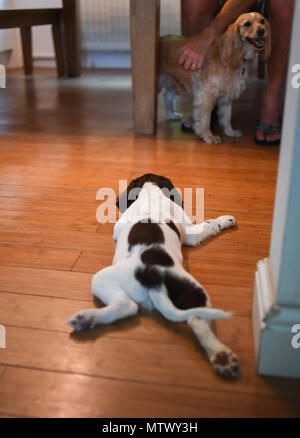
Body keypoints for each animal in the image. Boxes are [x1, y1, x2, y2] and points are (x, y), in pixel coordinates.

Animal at [69, 173, 239, 378]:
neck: (150, 192)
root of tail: (153, 279)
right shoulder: (191, 232)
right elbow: (210, 224)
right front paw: (226, 219)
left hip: (104, 279)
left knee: (129, 306)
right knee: (192, 318)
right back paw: (222, 356)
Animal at [159, 12, 272, 144]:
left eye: (262, 21)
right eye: (247, 24)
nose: (262, 30)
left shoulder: (226, 98)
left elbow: (227, 117)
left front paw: (230, 132)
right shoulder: (205, 95)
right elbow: (205, 119)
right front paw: (208, 136)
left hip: (174, 83)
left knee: (167, 96)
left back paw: (172, 115)